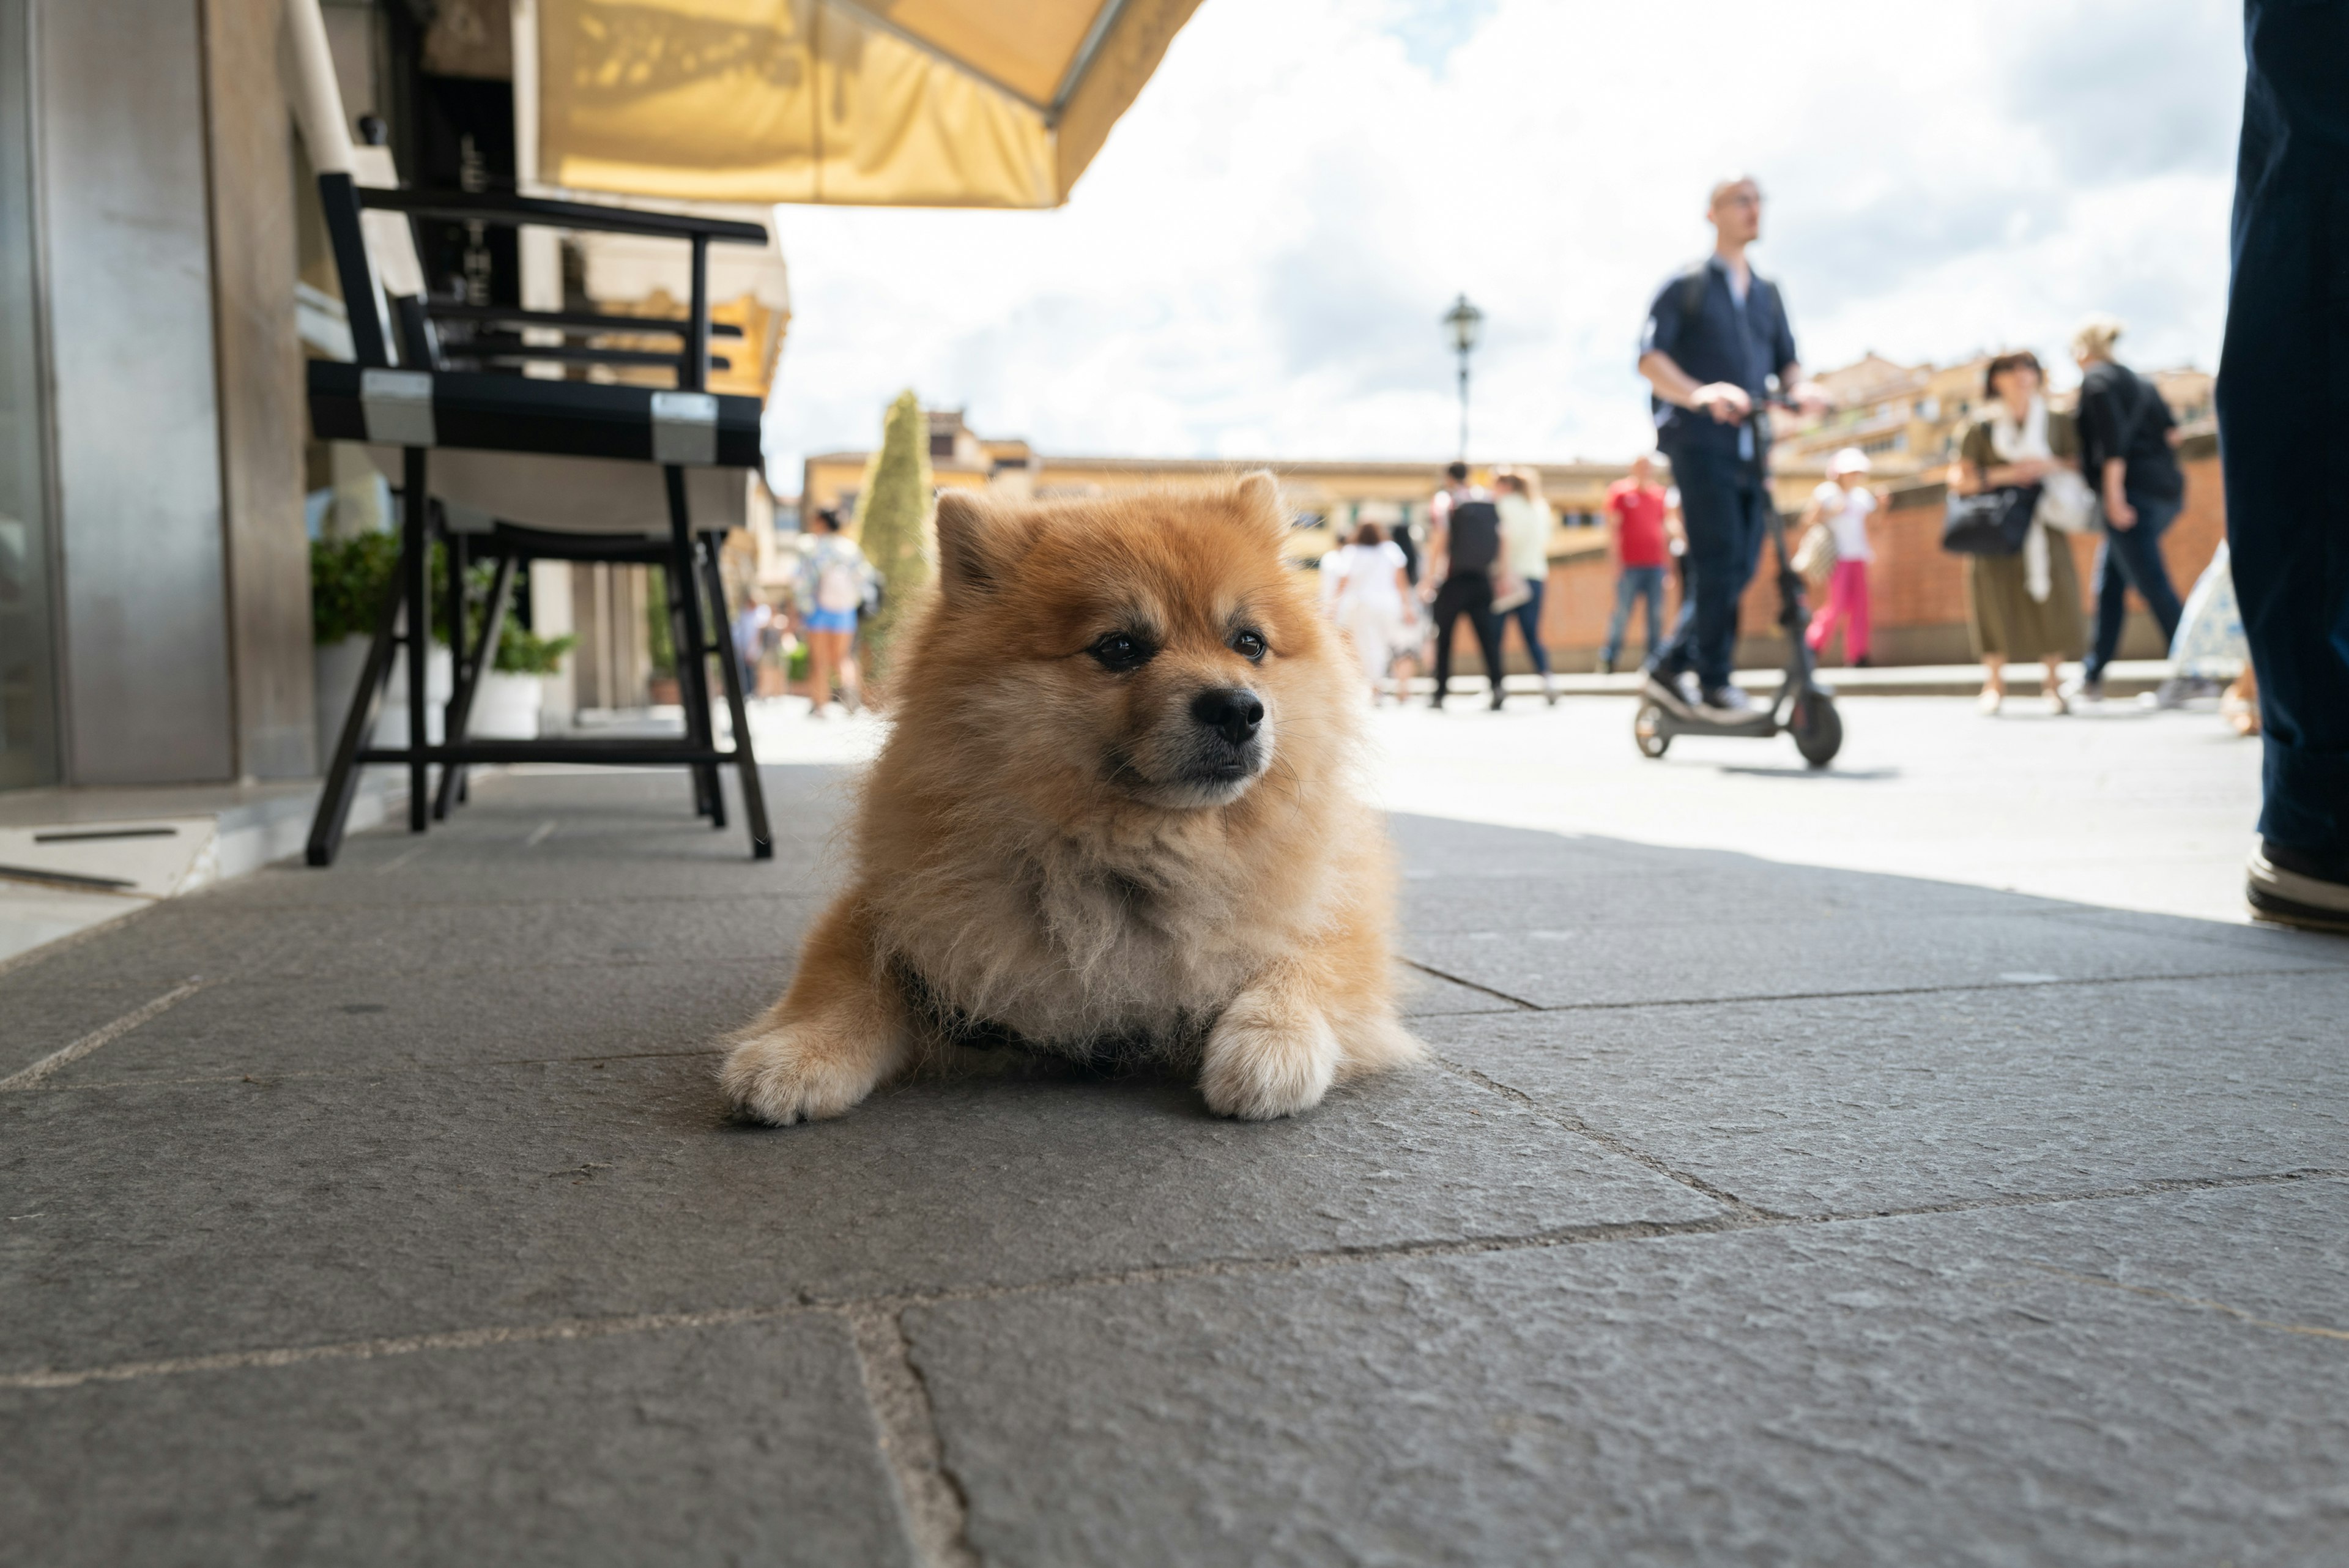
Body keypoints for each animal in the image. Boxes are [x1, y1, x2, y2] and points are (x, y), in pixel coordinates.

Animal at [719, 472, 1409, 1123]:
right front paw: (791, 1054)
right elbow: (842, 984)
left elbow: (1309, 964)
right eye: (1120, 647)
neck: (1135, 859)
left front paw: (1271, 1047)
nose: (1238, 708)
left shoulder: (1333, 903)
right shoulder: (890, 915)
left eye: (1249, 643)